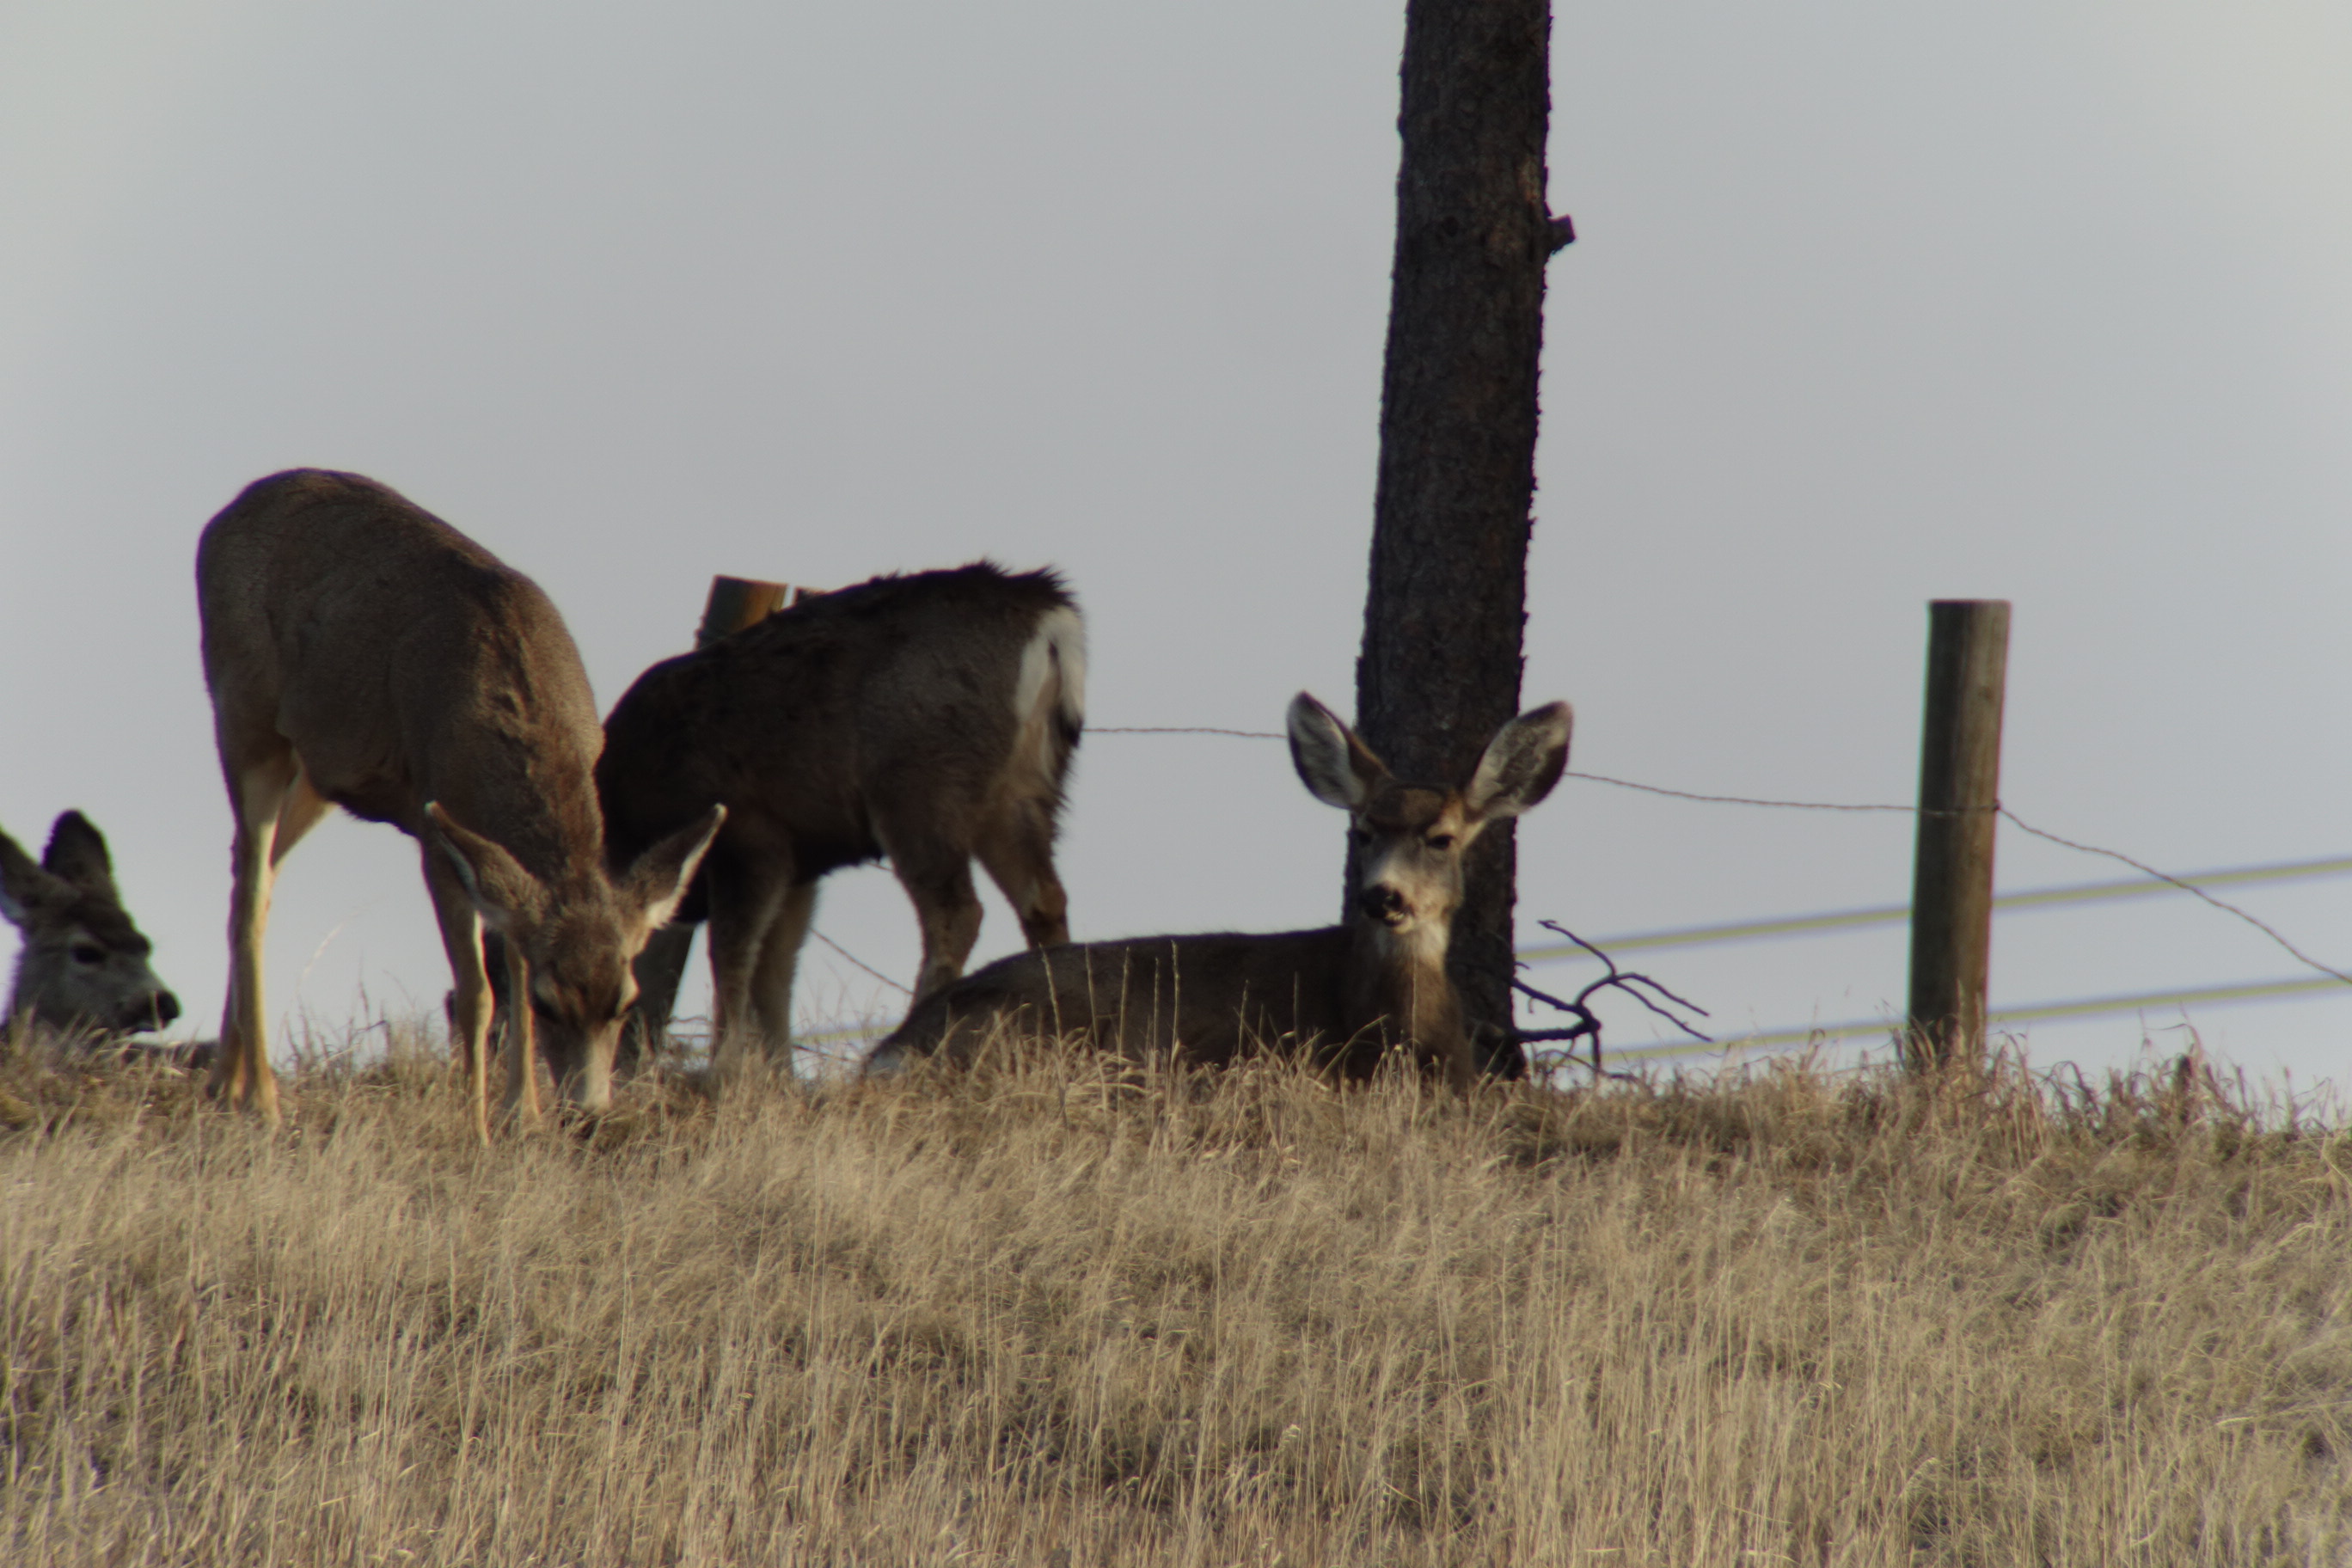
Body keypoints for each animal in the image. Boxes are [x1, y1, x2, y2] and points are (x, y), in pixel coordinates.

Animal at [197, 472, 720, 1133]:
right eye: (551, 1004)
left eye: (625, 1002)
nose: (588, 1112)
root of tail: (225, 513)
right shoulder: (435, 832)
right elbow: (480, 993)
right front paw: (478, 1127)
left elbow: (513, 962)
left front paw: (524, 1113)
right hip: (243, 715)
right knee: (248, 887)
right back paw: (261, 1099)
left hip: (318, 773)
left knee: (255, 873)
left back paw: (227, 1081)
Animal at [602, 561, 1087, 1081]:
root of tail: (1051, 619)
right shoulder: (800, 860)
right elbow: (776, 967)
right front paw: (780, 1076)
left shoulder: (751, 835)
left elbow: (732, 955)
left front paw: (725, 1071)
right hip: (1025, 787)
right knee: (1044, 898)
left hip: (919, 782)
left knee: (958, 910)